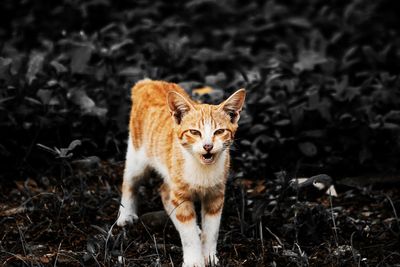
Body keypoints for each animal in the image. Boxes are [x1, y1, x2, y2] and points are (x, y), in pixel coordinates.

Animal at [117, 80, 245, 267]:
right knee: (130, 181)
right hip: (138, 155)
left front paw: (209, 256)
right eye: (194, 132)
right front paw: (194, 260)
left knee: (164, 191)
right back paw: (125, 215)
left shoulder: (216, 194)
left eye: (219, 132)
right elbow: (187, 233)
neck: (202, 168)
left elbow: (212, 230)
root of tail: (148, 82)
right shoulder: (180, 192)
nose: (208, 146)